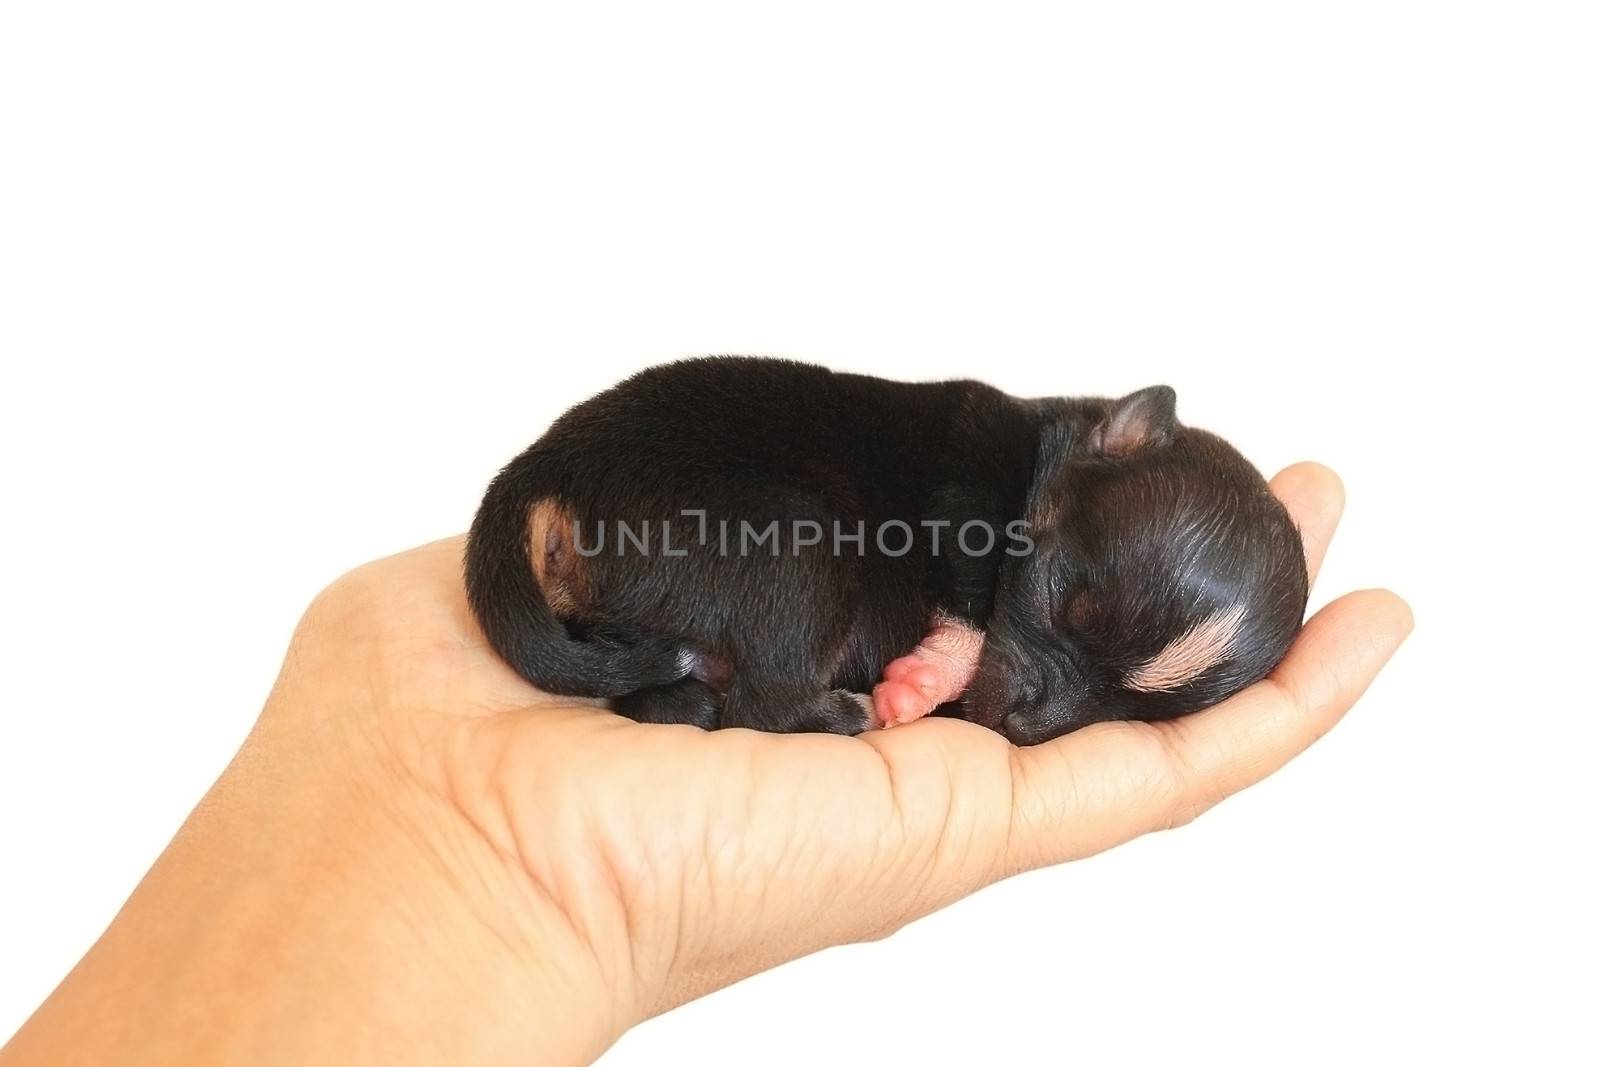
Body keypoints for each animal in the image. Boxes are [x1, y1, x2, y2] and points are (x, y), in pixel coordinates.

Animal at [460, 356, 1299, 742]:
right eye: (1065, 603)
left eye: (1132, 709)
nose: (1019, 725)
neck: (1044, 447)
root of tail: (542, 469)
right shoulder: (966, 495)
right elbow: (969, 598)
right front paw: (926, 678)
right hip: (794, 543)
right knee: (767, 700)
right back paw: (848, 709)